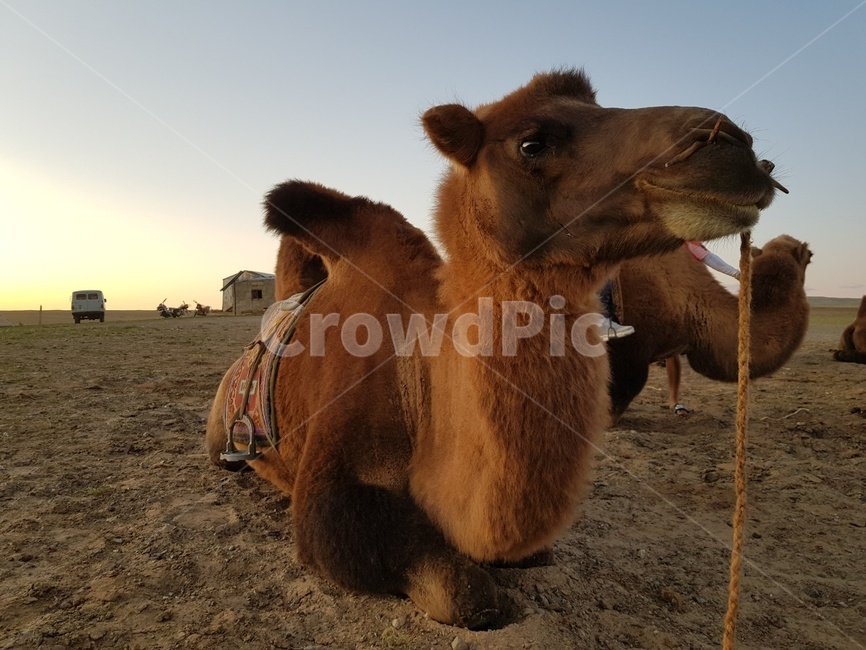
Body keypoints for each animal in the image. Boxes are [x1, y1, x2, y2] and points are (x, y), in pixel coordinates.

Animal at [206, 69, 784, 628]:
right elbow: (467, 596)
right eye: (532, 143)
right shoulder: (334, 494)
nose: (733, 145)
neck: (420, 389)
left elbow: (533, 555)